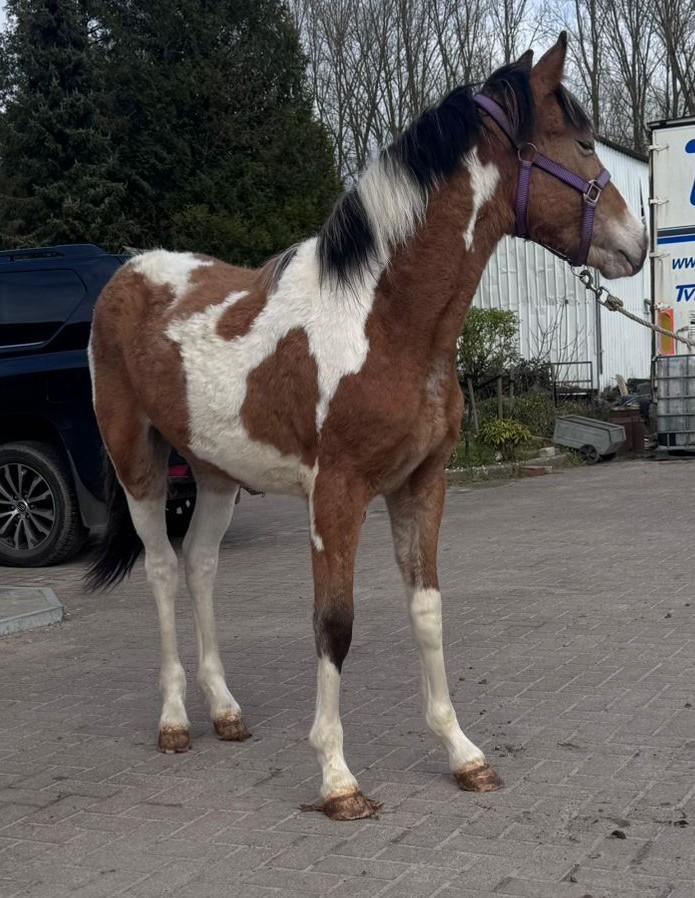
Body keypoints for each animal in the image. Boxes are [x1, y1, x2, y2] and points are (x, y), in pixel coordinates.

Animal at [86, 33, 647, 821]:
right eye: (586, 142)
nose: (636, 243)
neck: (383, 321)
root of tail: (127, 274)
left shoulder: (422, 483)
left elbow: (427, 609)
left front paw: (462, 754)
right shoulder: (337, 495)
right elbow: (334, 624)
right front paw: (337, 777)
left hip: (217, 473)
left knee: (199, 566)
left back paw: (224, 711)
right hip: (137, 460)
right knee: (163, 569)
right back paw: (173, 722)